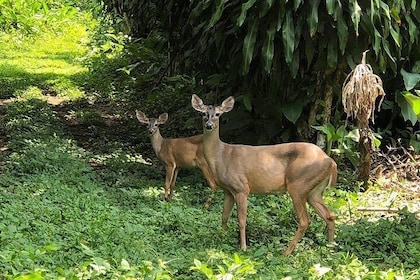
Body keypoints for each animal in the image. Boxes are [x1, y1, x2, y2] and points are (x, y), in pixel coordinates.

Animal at [192, 95, 336, 255]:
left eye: (217, 114)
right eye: (203, 113)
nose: (209, 125)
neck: (222, 156)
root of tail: (330, 161)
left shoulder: (241, 187)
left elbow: (241, 220)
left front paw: (243, 247)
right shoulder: (227, 190)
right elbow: (224, 216)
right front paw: (221, 239)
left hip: (298, 184)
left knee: (305, 220)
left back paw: (286, 252)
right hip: (314, 191)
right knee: (329, 215)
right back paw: (330, 248)